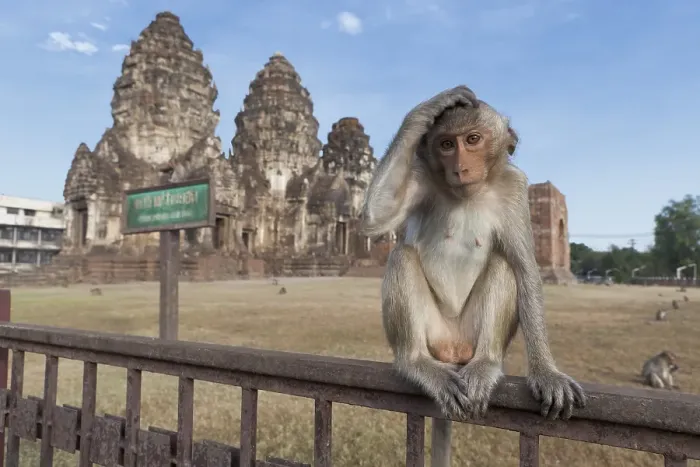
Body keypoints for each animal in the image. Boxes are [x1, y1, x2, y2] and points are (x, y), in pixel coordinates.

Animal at [360, 86, 585, 467]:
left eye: (473, 139)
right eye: (446, 144)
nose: (460, 167)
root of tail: (452, 353)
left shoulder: (515, 188)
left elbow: (525, 268)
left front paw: (547, 373)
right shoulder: (422, 174)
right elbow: (377, 216)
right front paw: (429, 107)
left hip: (469, 336)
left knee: (503, 265)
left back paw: (485, 364)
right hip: (435, 334)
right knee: (402, 254)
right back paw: (416, 363)